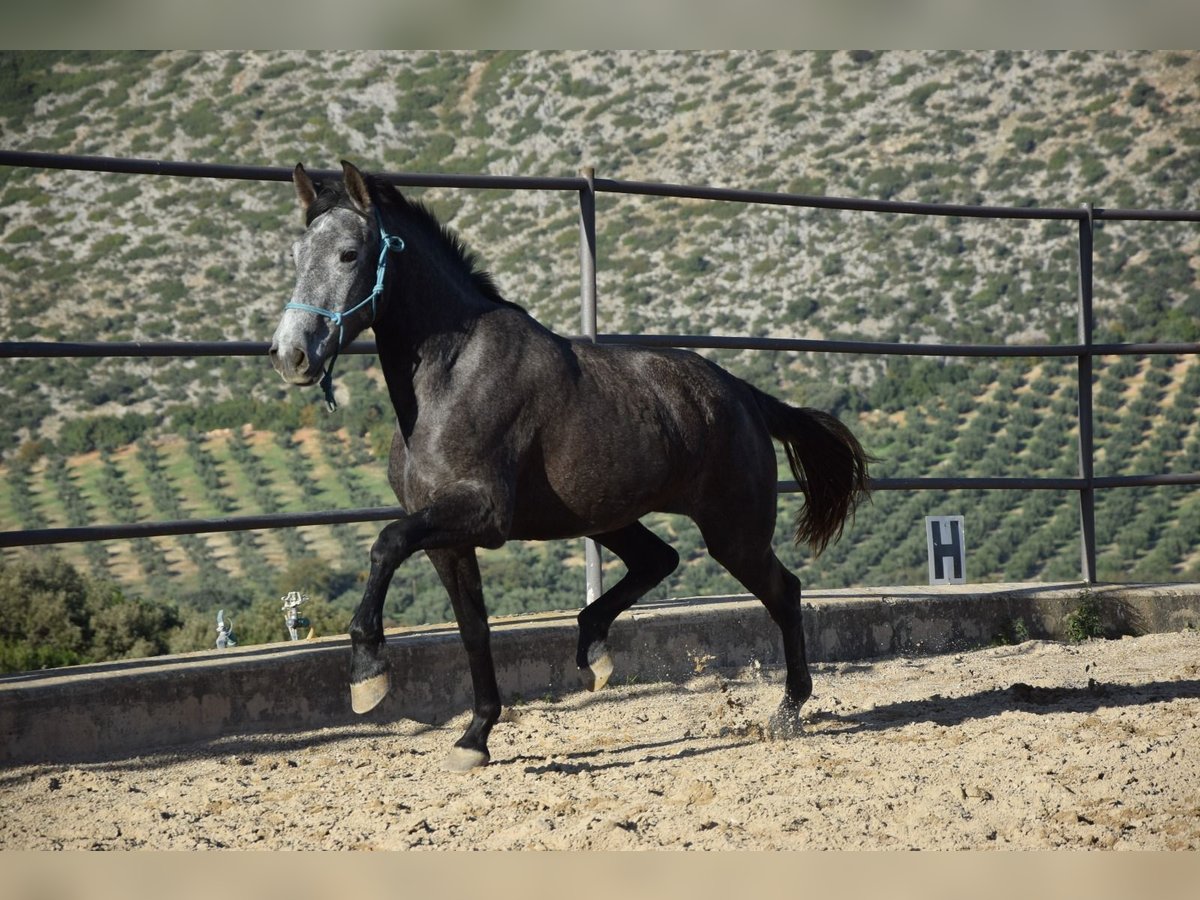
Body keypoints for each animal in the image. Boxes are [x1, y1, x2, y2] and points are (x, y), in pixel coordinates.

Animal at [272, 164, 873, 777]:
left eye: (349, 253)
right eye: (296, 254)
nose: (291, 354)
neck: (452, 378)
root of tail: (746, 396)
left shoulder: (482, 515)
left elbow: (386, 544)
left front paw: (368, 676)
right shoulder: (447, 538)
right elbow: (473, 630)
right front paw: (474, 738)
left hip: (734, 532)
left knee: (784, 592)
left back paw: (787, 712)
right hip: (609, 517)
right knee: (660, 559)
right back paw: (593, 650)